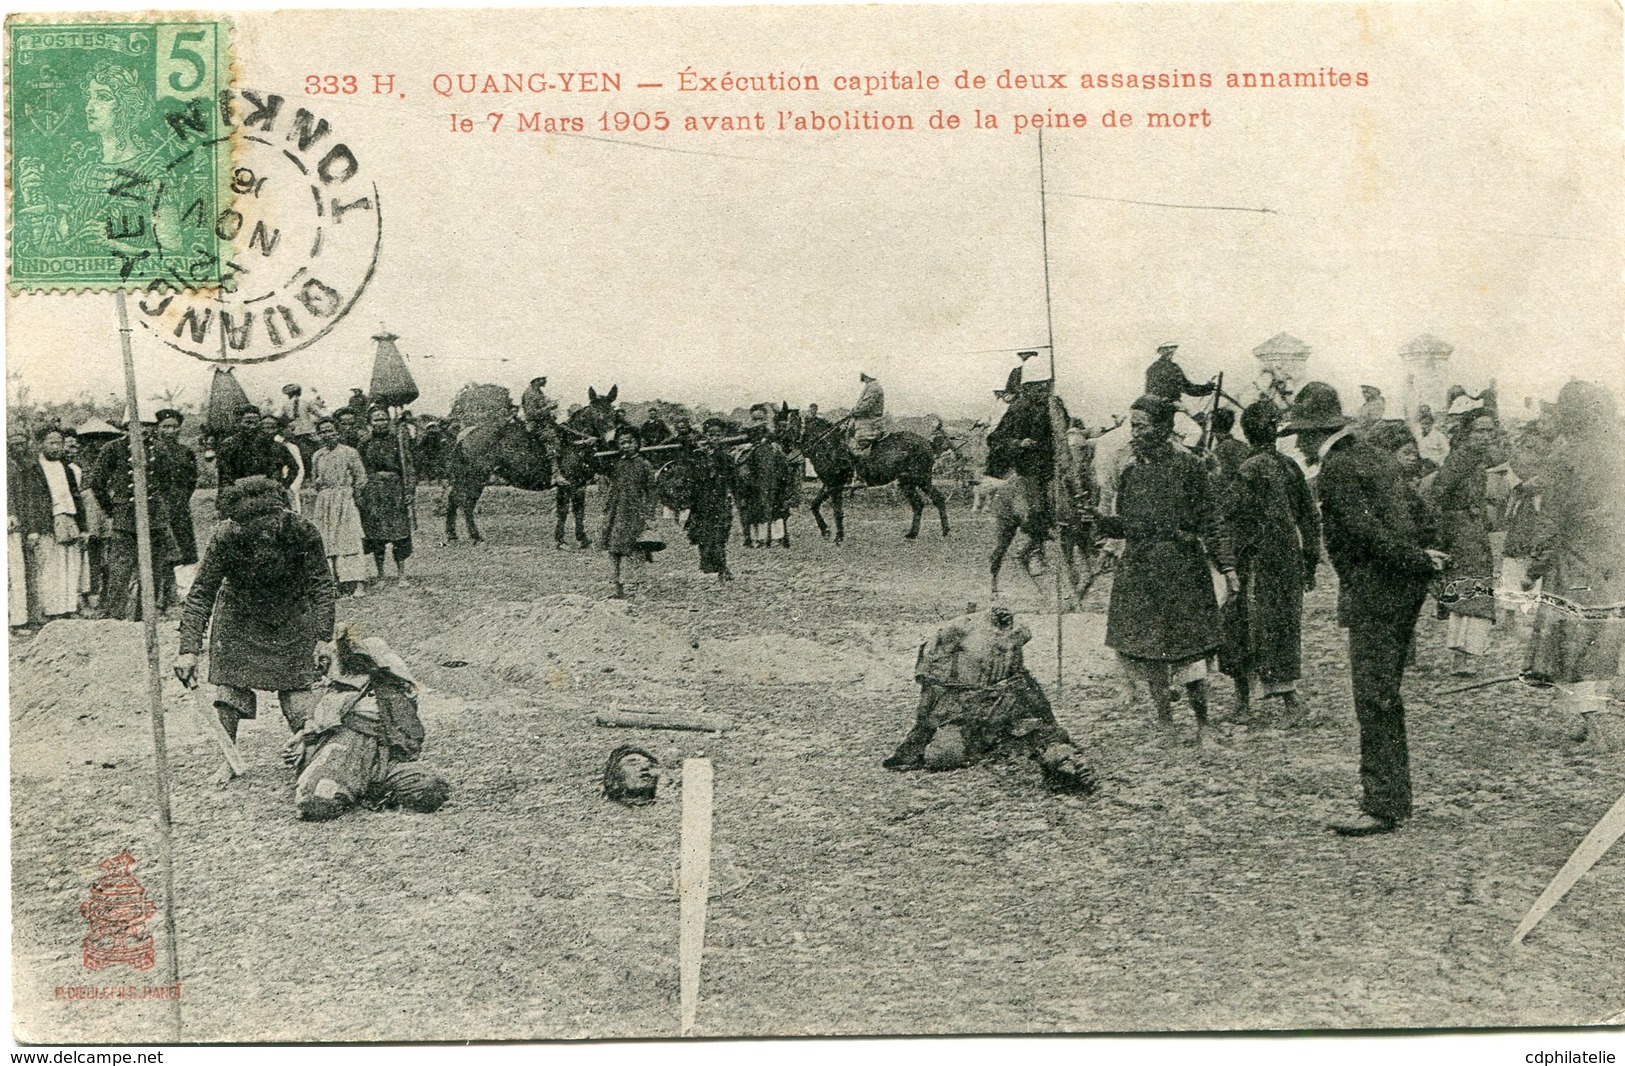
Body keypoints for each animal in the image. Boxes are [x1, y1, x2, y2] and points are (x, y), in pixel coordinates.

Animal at [445, 385, 614, 546]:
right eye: (595, 411)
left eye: (612, 411)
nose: (610, 439)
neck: (572, 441)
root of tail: (463, 437)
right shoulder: (568, 484)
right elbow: (564, 510)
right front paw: (560, 540)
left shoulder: (580, 484)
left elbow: (579, 510)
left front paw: (582, 538)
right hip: (475, 479)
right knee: (466, 504)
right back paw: (476, 537)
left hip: (466, 479)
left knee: (454, 499)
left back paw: (452, 535)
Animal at [776, 407, 949, 542]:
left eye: (786, 425)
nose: (781, 447)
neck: (829, 446)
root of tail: (928, 443)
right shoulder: (828, 484)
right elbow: (814, 505)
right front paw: (826, 531)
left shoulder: (835, 485)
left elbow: (837, 511)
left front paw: (838, 537)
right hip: (911, 482)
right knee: (925, 502)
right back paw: (921, 533)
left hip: (919, 479)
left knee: (931, 501)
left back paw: (938, 531)